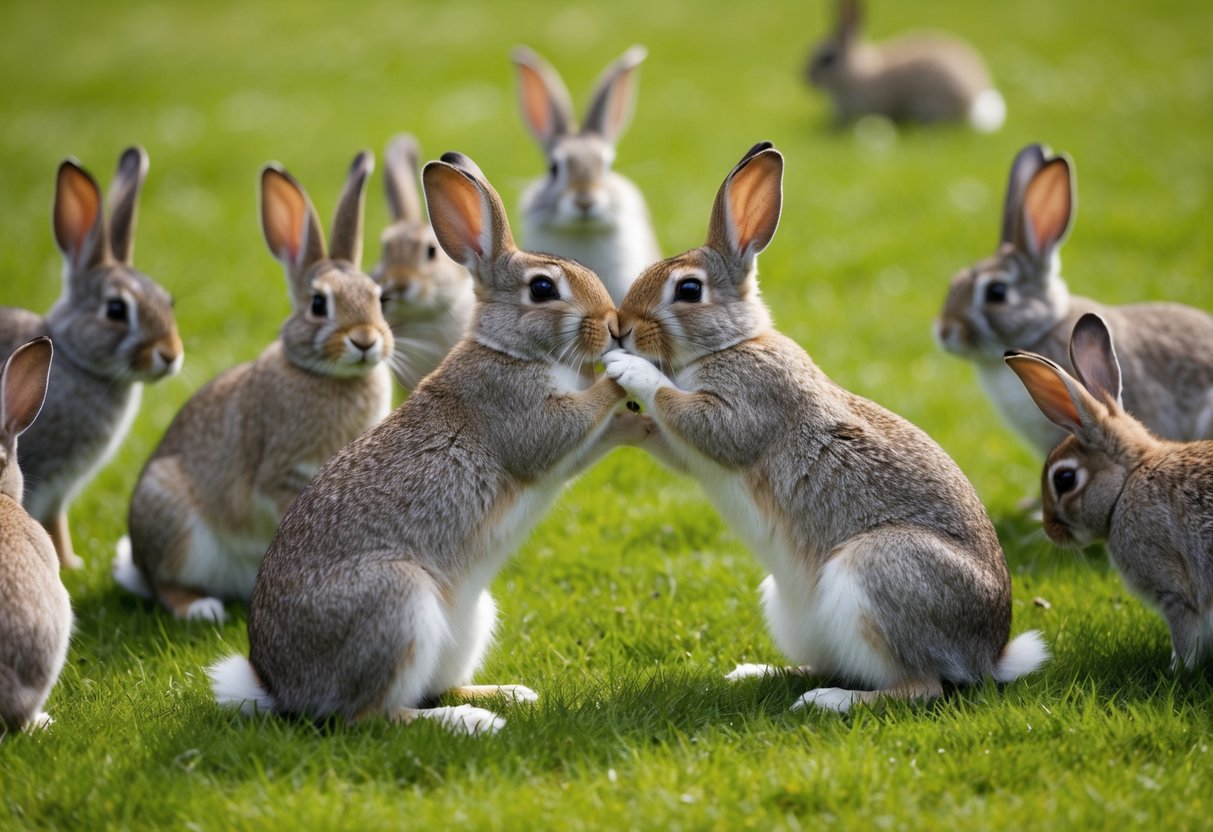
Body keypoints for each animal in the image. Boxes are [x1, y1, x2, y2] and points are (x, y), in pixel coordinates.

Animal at [0, 147, 183, 569]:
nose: (171, 355)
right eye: (115, 310)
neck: (74, 360)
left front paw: (71, 561)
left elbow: (58, 521)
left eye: (168, 302)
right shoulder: (40, 470)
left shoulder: (58, 489)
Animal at [114, 152, 394, 623]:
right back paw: (202, 608)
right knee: (167, 586)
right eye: (319, 304)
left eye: (378, 298)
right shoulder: (280, 474)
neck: (328, 376)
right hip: (174, 522)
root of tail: (139, 563)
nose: (365, 339)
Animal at [603, 142, 1048, 713]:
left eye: (688, 290)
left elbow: (692, 414)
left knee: (918, 686)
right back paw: (756, 672)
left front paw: (628, 368)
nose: (622, 329)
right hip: (789, 607)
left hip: (880, 569)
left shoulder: (748, 406)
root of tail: (990, 654)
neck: (731, 343)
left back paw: (827, 700)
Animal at [1006, 313, 1213, 670]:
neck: (1127, 483)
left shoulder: (1175, 590)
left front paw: (1176, 671)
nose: (1049, 529)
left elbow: (1185, 636)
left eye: (1064, 480)